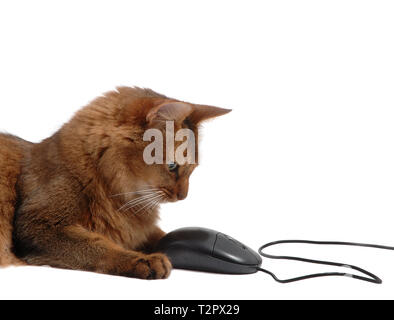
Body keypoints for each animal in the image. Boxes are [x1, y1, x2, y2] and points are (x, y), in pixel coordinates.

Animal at [0, 86, 231, 278]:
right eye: (173, 166)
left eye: (193, 169)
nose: (183, 196)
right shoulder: (38, 225)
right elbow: (97, 245)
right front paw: (142, 260)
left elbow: (163, 235)